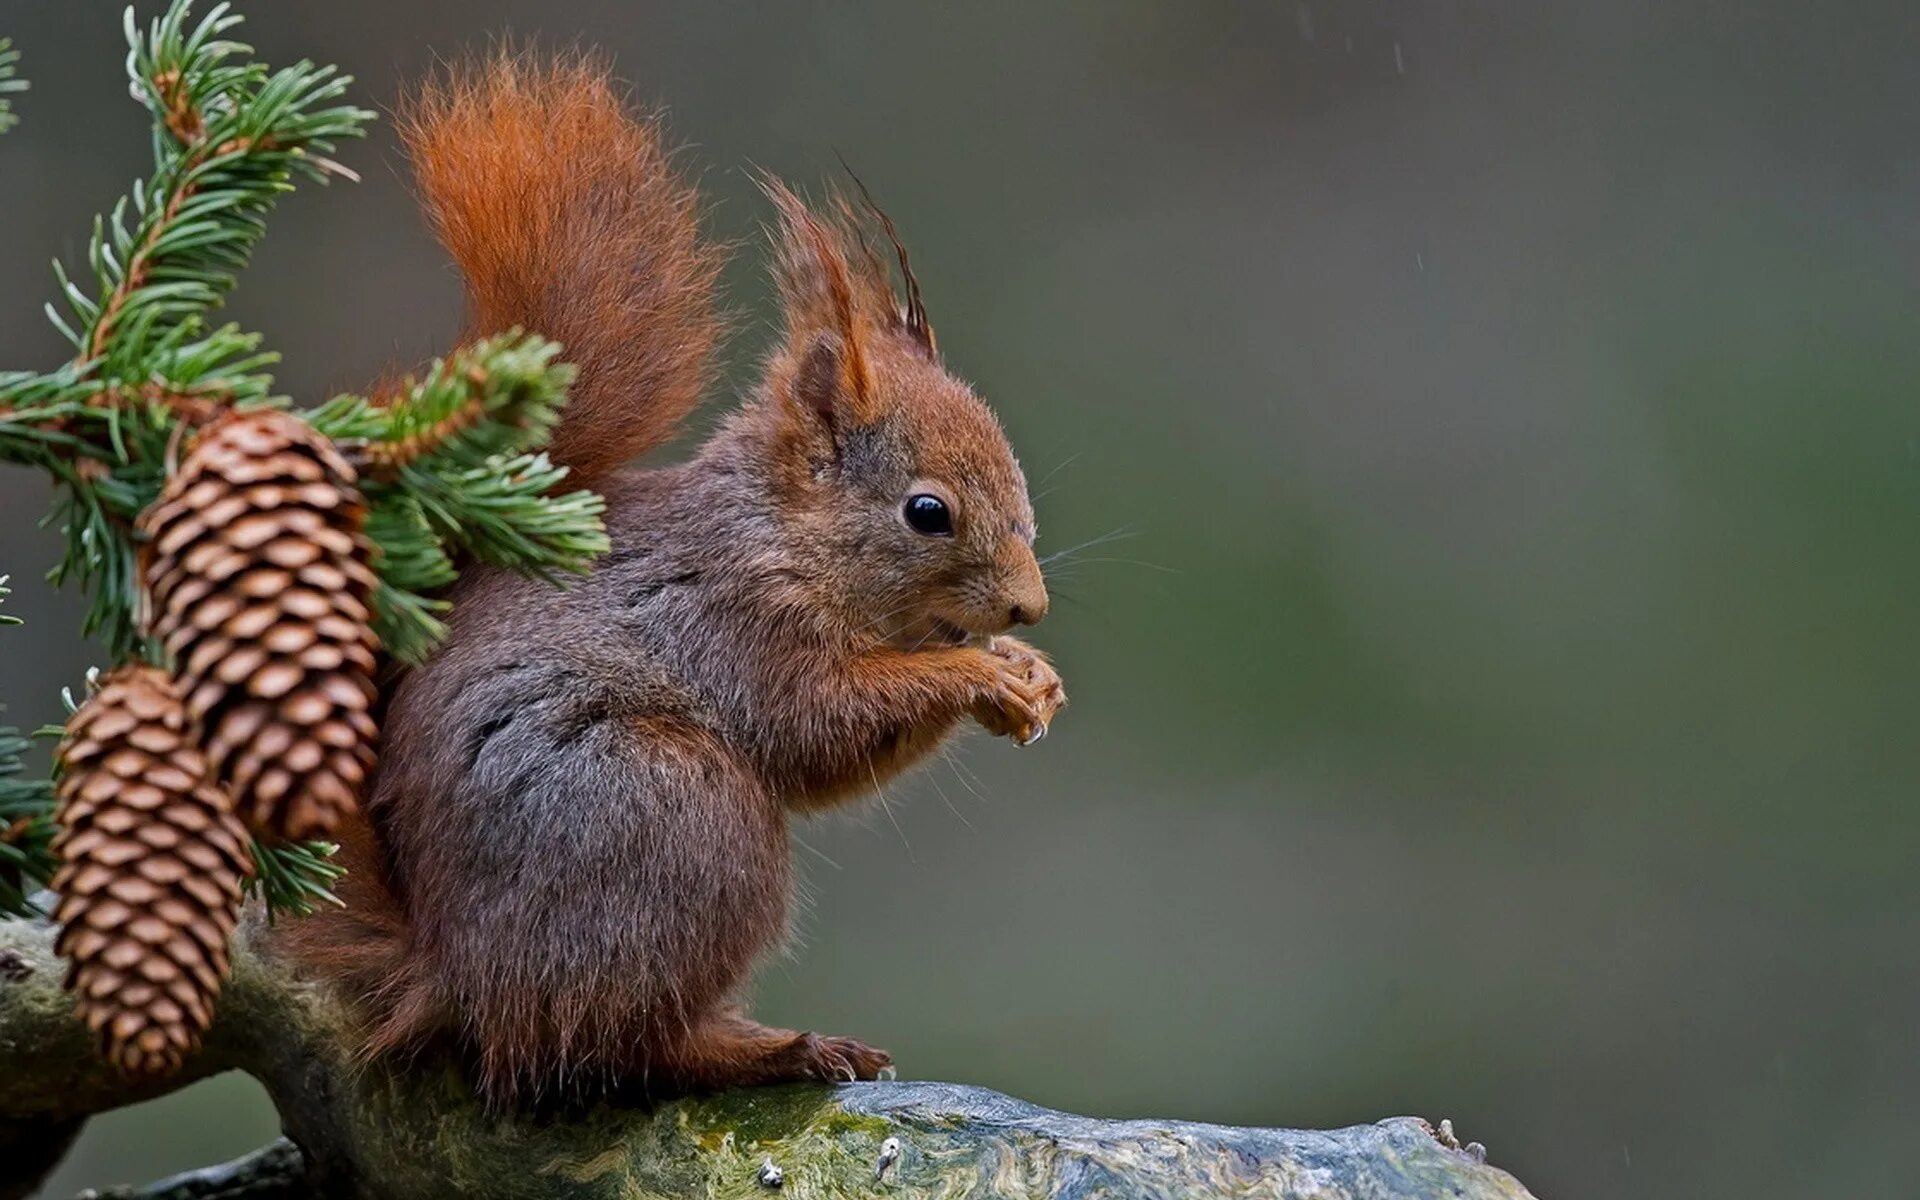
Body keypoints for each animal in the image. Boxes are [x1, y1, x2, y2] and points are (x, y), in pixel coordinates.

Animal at [282, 56, 1067, 1105]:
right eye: (927, 511)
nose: (1031, 605)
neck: (780, 535)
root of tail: (450, 973)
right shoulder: (735, 622)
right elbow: (816, 726)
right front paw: (977, 672)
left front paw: (1028, 671)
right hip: (678, 821)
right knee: (623, 1042)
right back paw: (775, 1049)